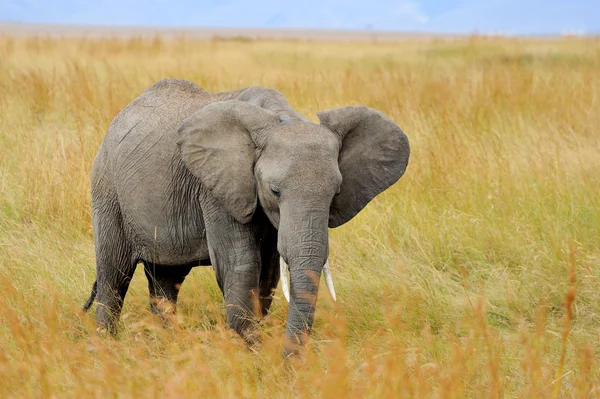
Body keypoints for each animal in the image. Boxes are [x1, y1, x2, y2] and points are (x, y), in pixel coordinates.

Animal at [82, 78, 410, 356]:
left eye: (336, 193)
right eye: (275, 191)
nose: (289, 364)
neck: (281, 117)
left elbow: (269, 274)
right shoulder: (216, 188)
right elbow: (241, 265)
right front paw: (251, 356)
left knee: (166, 279)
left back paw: (166, 345)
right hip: (107, 187)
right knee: (114, 275)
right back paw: (107, 348)